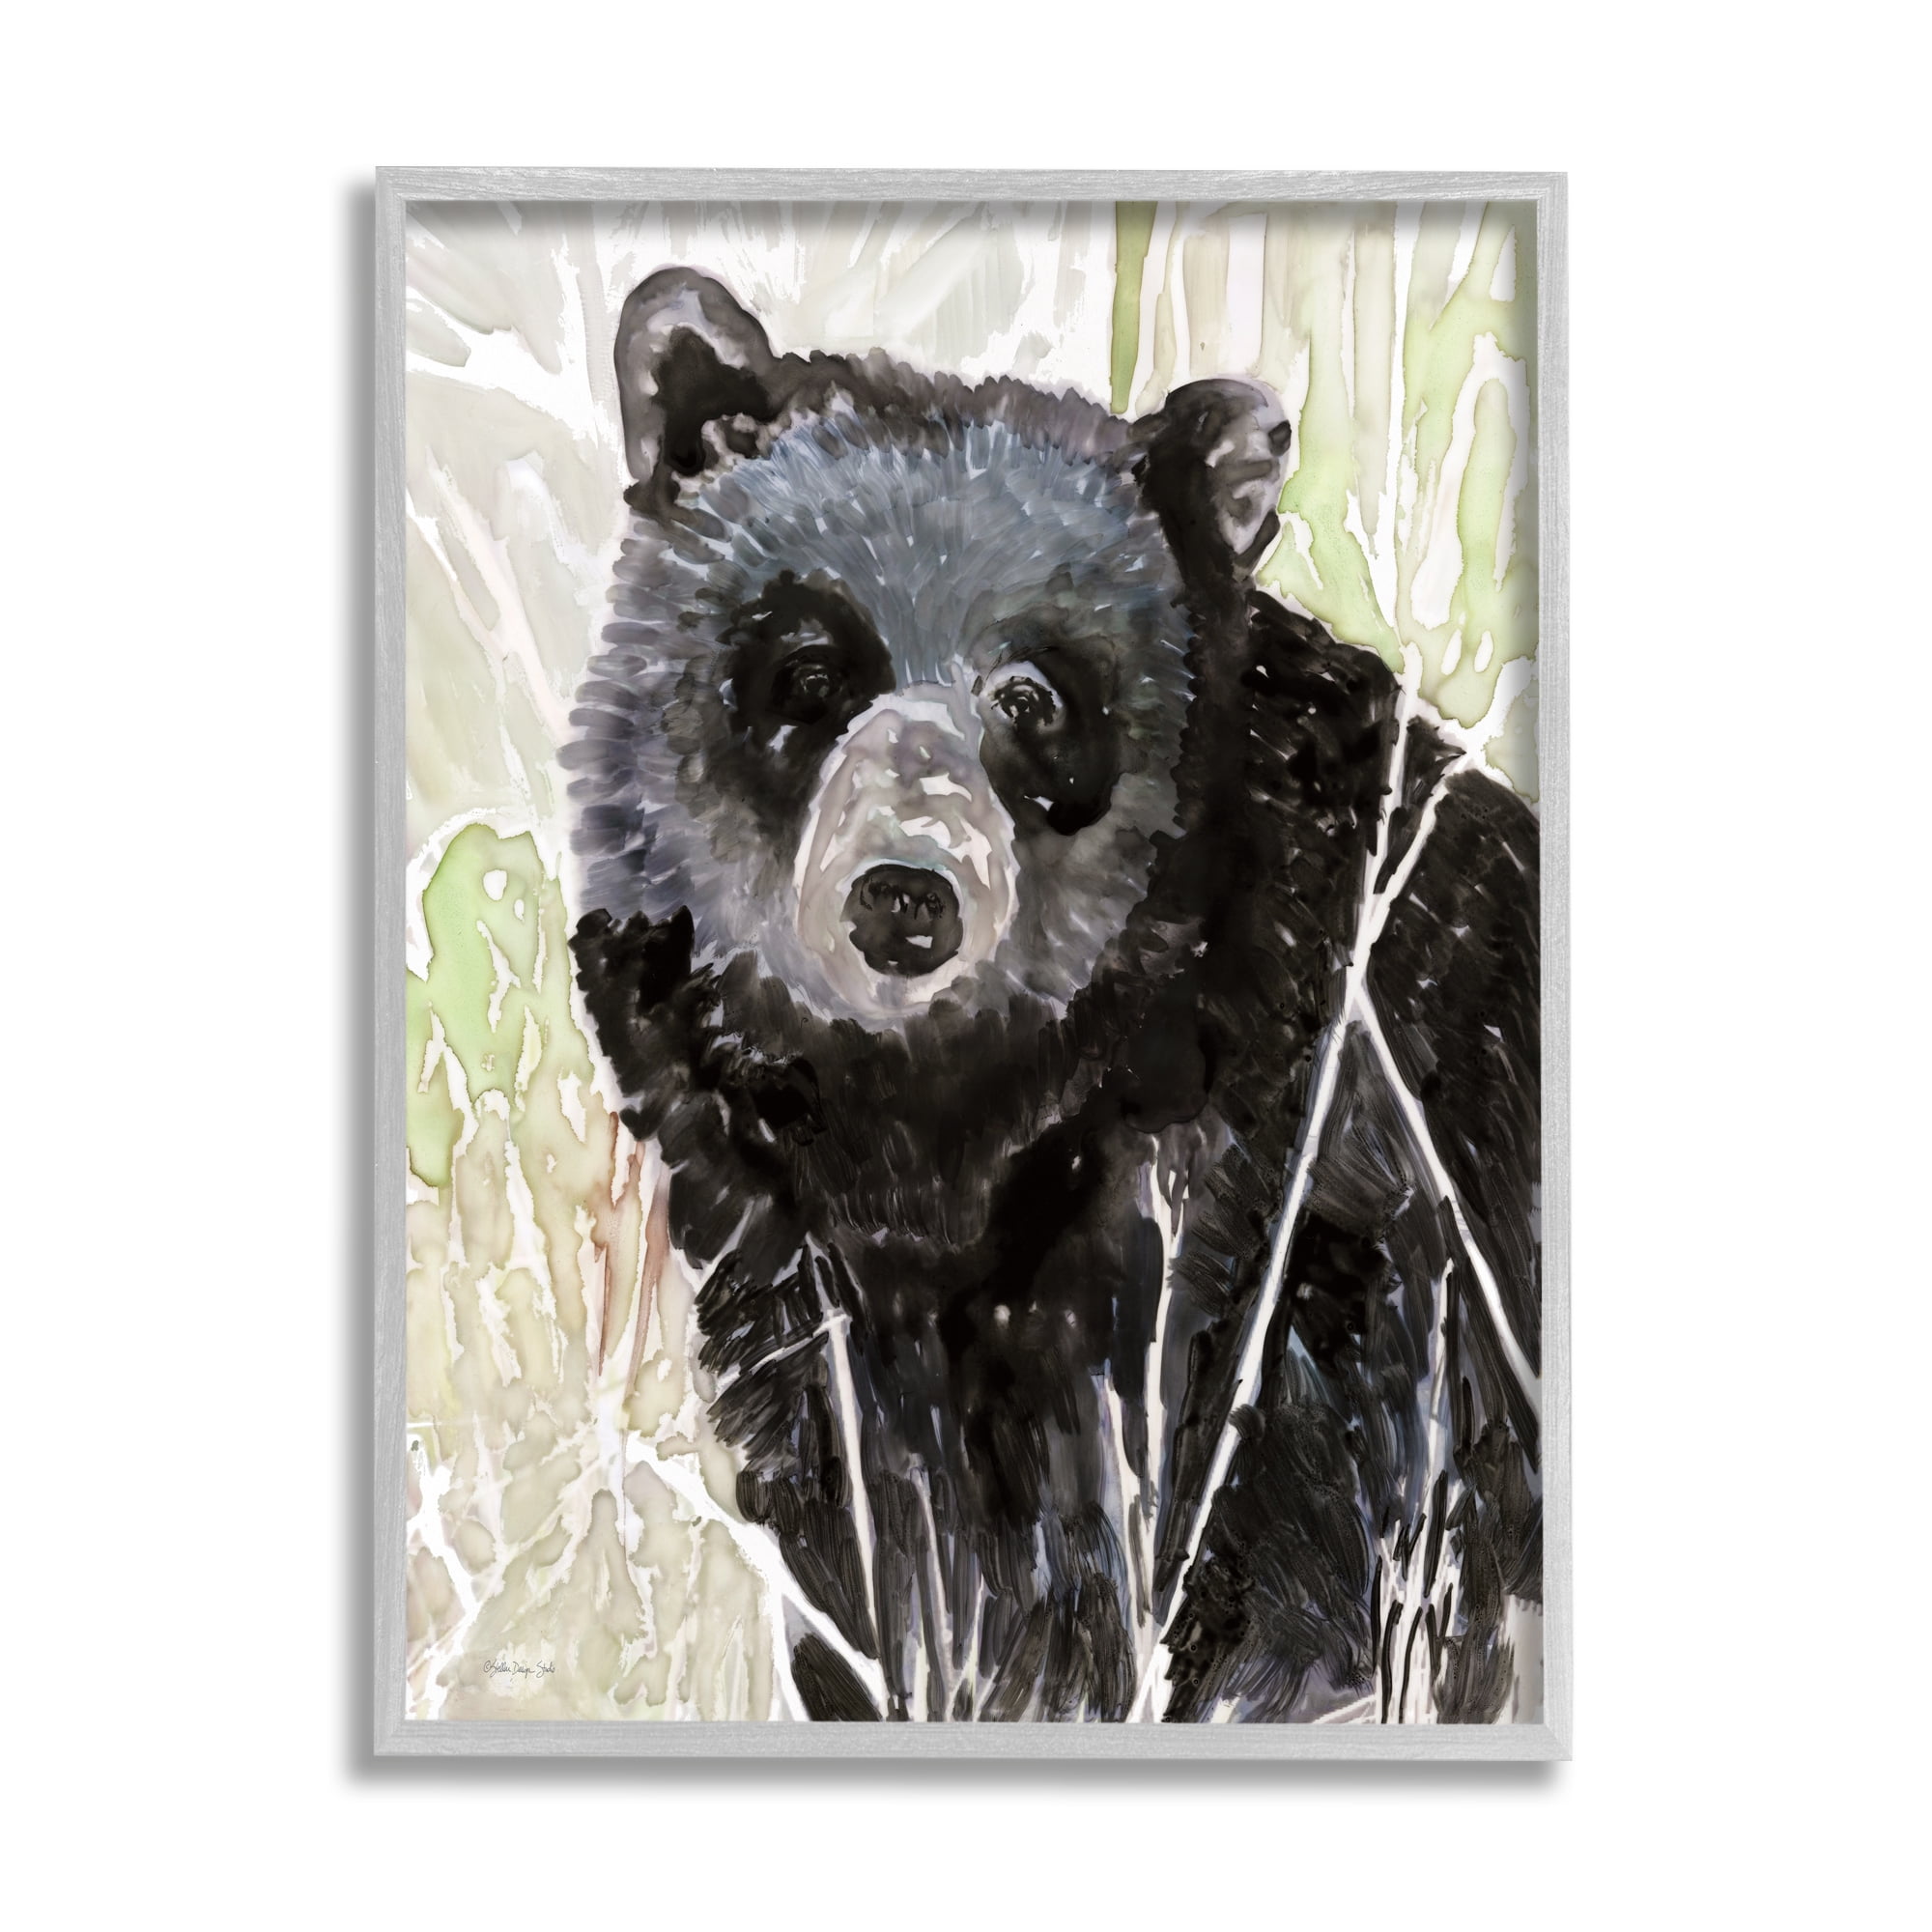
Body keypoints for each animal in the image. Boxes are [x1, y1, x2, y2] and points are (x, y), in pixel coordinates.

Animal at [564, 267, 1541, 1724]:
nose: (904, 898)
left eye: (1032, 696)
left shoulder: (1289, 1226)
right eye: (812, 670)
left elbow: (1245, 1566)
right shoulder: (783, 1257)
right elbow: (859, 1529)